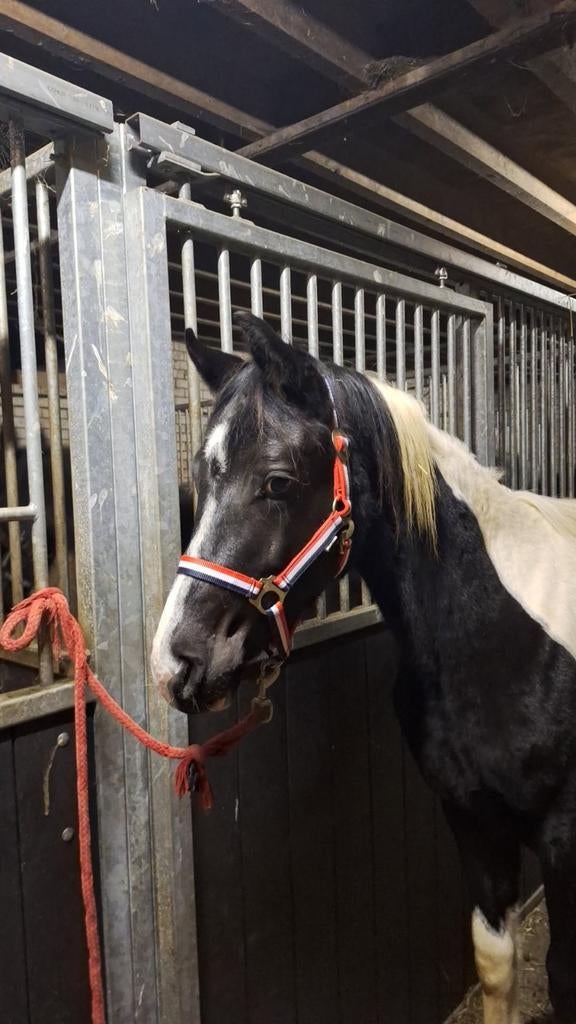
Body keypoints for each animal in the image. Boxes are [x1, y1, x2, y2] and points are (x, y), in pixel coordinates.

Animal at [151, 311, 576, 1024]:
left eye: (278, 481)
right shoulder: (472, 818)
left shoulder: (563, 835)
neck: (501, 634)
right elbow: (496, 960)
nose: (175, 662)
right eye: (200, 482)